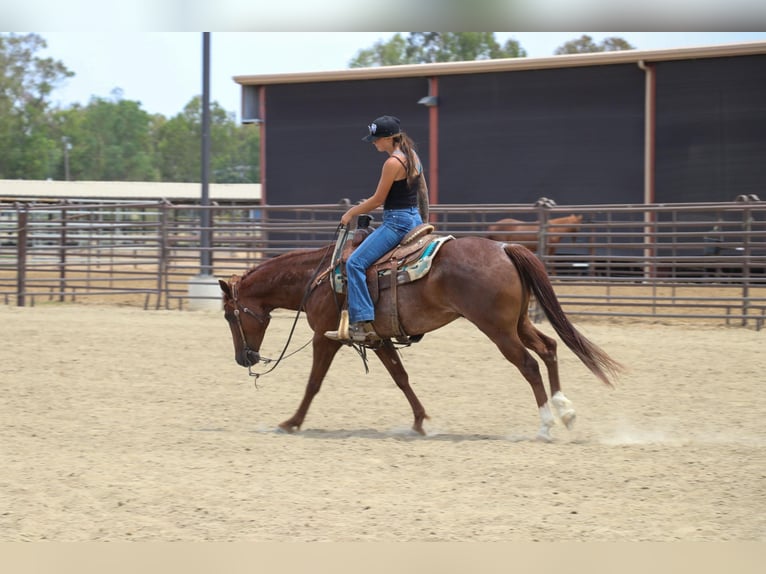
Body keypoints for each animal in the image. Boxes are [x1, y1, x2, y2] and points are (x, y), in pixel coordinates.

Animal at [218, 232, 622, 441]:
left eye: (228, 315)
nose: (243, 358)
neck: (315, 277)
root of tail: (506, 247)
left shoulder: (325, 336)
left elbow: (313, 382)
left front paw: (291, 422)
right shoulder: (378, 339)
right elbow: (401, 377)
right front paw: (419, 421)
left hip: (497, 328)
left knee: (528, 364)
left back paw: (546, 423)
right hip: (517, 322)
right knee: (549, 348)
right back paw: (565, 411)